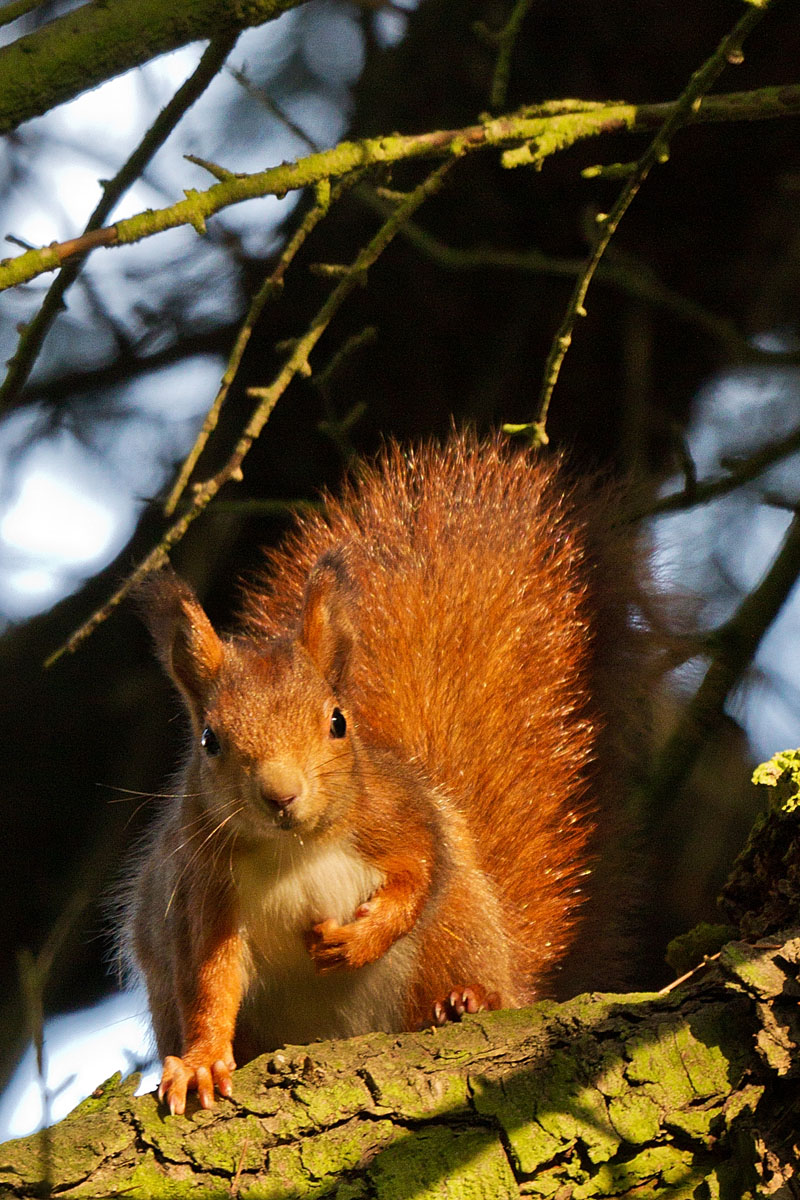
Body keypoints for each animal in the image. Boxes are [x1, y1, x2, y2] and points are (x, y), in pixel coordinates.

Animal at [120, 431, 646, 1114]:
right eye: (209, 740)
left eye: (338, 722)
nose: (281, 794)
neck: (294, 852)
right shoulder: (201, 894)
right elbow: (211, 983)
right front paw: (202, 1062)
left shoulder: (397, 816)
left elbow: (420, 872)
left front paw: (360, 939)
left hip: (455, 930)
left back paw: (470, 1000)